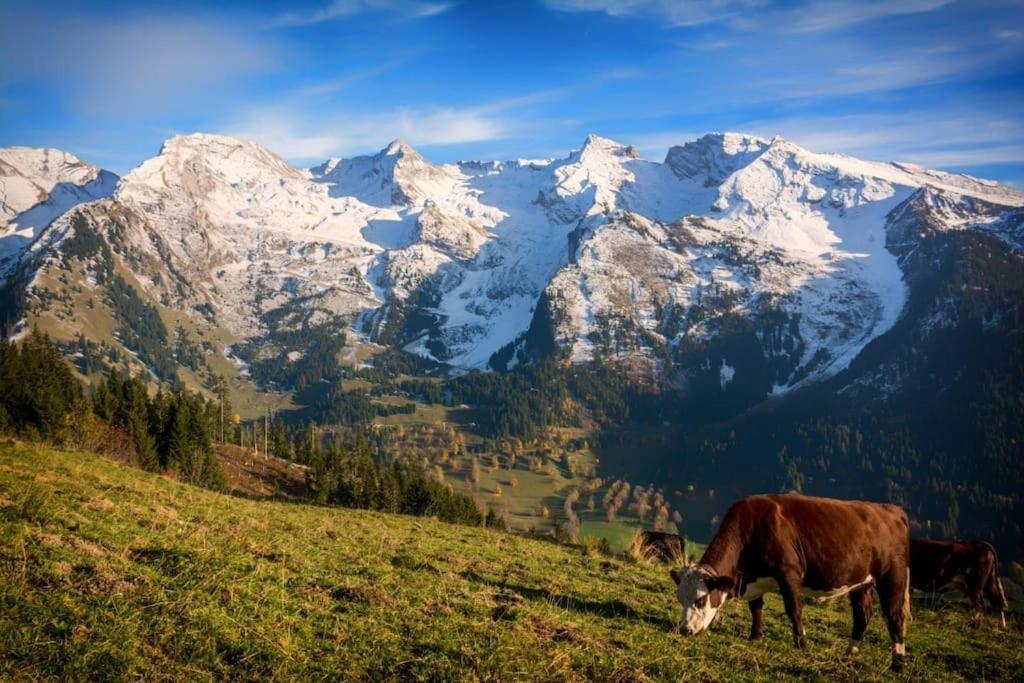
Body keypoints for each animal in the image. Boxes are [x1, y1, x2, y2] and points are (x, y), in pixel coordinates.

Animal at [671, 493, 913, 671]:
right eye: (680, 599)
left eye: (701, 600)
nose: (684, 630)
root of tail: (890, 510)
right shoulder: (755, 582)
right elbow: (756, 607)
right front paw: (755, 636)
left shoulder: (788, 573)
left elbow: (794, 610)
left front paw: (802, 644)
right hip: (861, 582)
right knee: (863, 614)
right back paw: (850, 652)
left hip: (893, 576)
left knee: (895, 616)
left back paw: (898, 662)